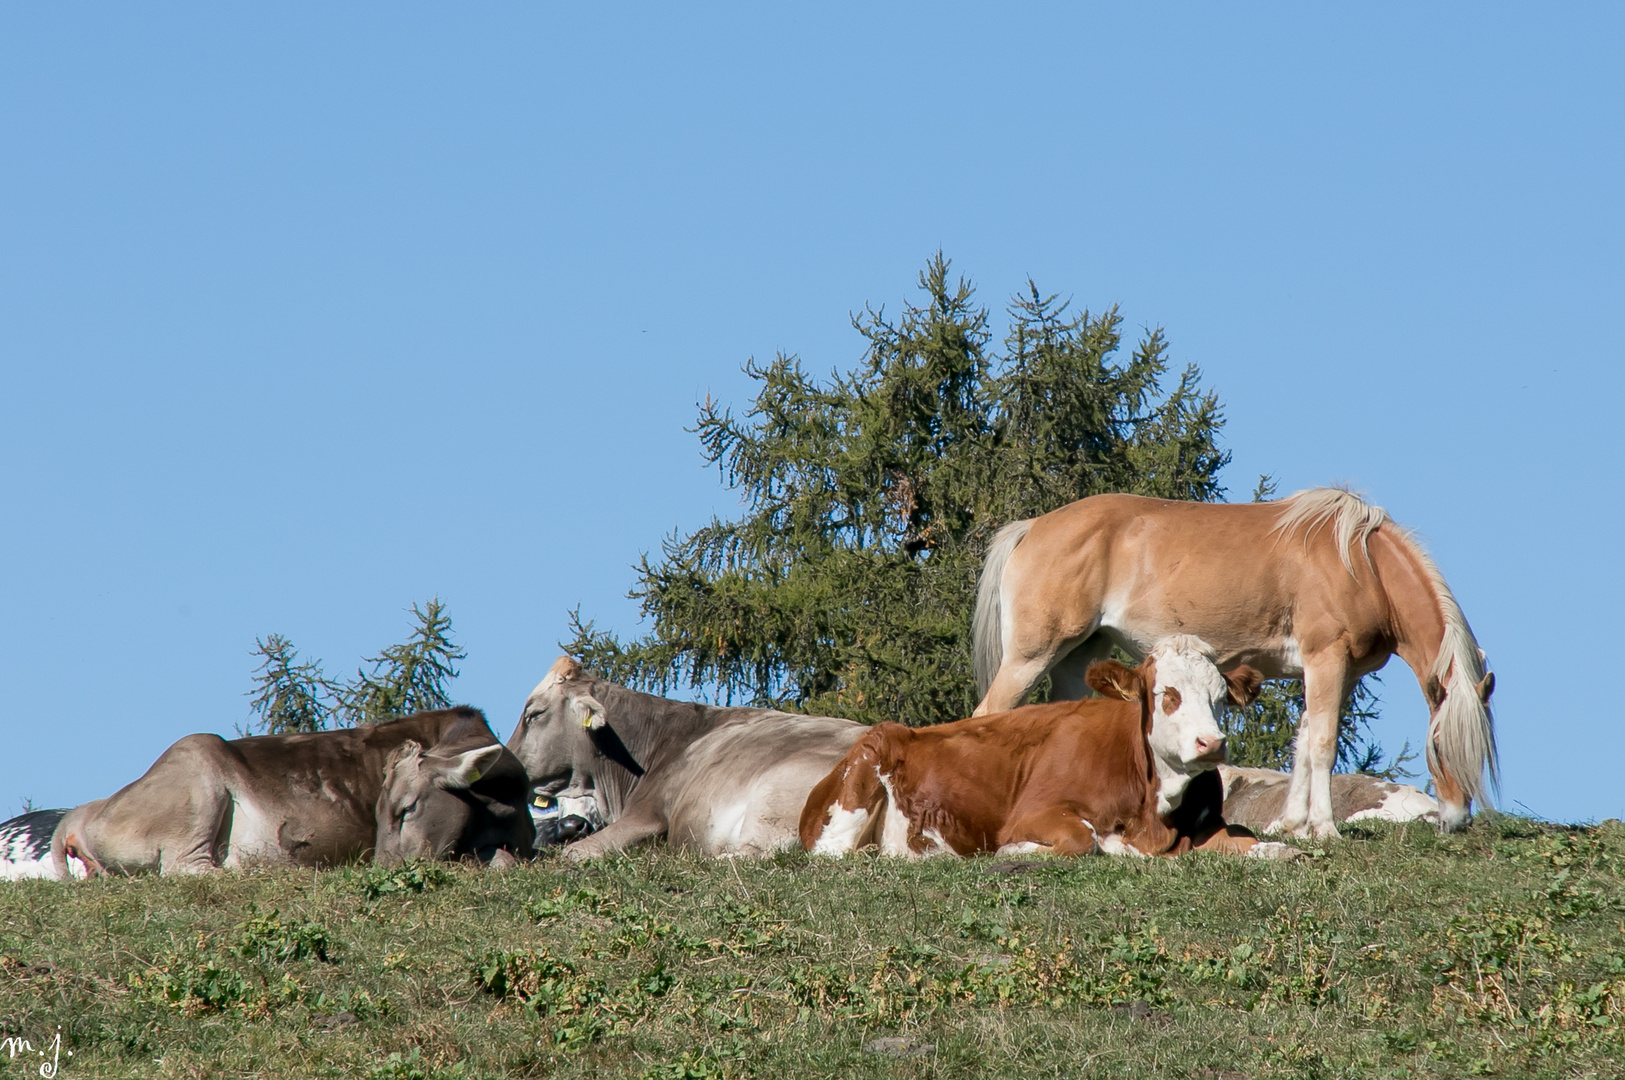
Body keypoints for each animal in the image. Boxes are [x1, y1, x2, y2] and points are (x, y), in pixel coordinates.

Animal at [49, 708, 533, 876]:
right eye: (382, 812)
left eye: (406, 808)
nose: (381, 870)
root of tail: (83, 813)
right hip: (199, 764)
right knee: (187, 866)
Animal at [799, 633, 1293, 857]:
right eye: (1164, 694)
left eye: (1220, 698)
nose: (1211, 743)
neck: (1155, 816)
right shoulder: (1034, 813)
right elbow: (1081, 839)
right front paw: (1018, 852)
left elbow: (1256, 841)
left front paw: (1278, 849)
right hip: (860, 782)